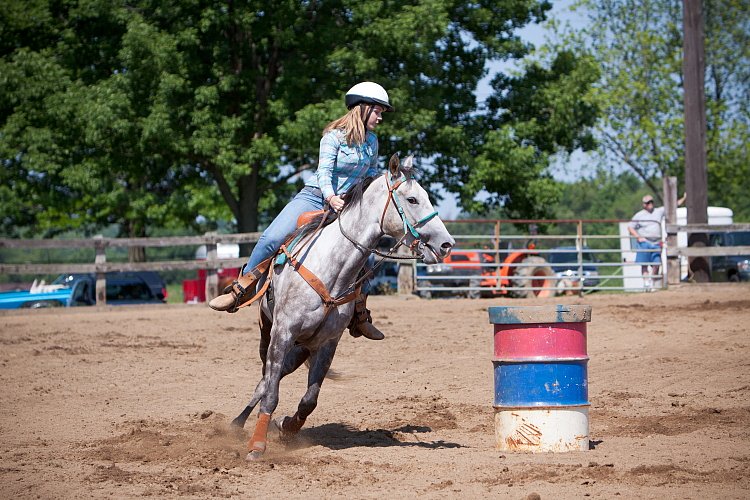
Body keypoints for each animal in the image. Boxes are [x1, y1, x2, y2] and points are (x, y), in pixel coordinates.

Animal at [232, 153, 456, 460]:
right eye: (412, 199)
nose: (447, 243)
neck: (330, 268)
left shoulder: (328, 343)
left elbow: (309, 400)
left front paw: (287, 427)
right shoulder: (283, 332)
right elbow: (272, 395)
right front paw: (257, 446)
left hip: (302, 347)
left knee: (268, 381)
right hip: (271, 333)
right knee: (266, 381)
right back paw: (235, 424)